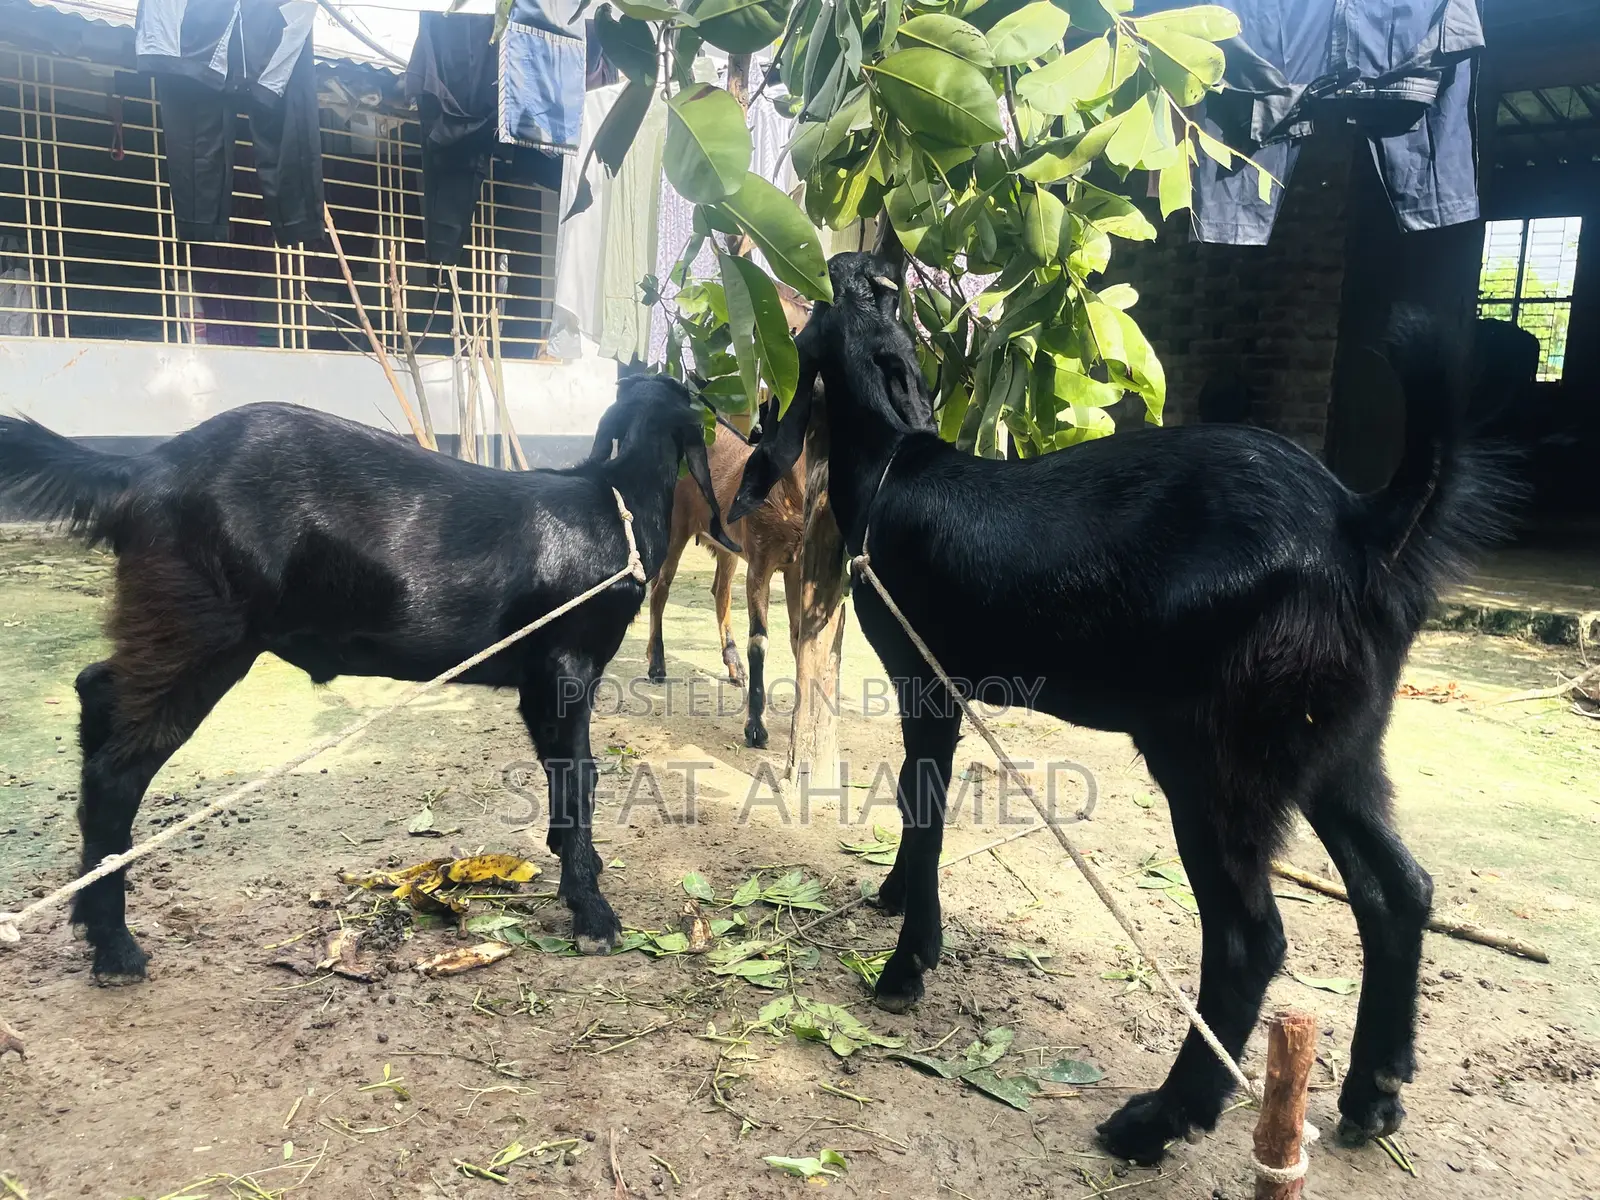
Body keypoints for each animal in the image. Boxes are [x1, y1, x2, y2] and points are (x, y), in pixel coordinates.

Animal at [0, 376, 735, 983]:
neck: (612, 504)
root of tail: (146, 468)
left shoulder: (539, 681)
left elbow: (564, 785)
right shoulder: (565, 667)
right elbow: (579, 783)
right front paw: (593, 913)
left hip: (173, 623)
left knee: (96, 690)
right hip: (206, 629)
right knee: (118, 768)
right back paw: (116, 948)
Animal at [646, 416, 805, 748]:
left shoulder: (796, 566)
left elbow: (799, 638)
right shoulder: (760, 563)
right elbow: (758, 641)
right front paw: (755, 728)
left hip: (727, 547)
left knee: (720, 591)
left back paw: (734, 666)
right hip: (675, 529)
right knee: (660, 590)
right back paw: (656, 665)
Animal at [732, 251, 1513, 1165]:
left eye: (825, 307)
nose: (856, 262)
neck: (897, 461)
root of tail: (1361, 523)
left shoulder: (927, 681)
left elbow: (920, 803)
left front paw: (906, 966)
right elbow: (923, 805)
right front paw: (897, 902)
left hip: (1214, 757)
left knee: (1250, 940)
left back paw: (1161, 1118)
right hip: (1335, 745)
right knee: (1398, 889)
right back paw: (1375, 1091)